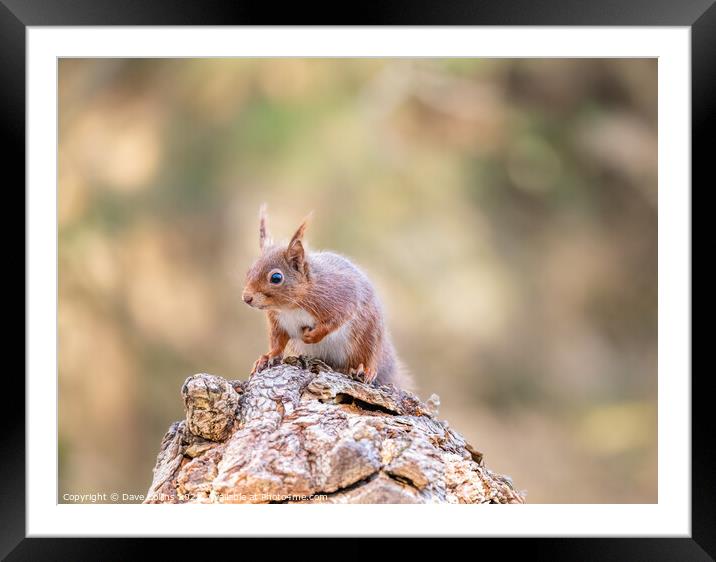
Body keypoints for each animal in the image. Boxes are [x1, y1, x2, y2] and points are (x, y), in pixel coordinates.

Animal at [241, 206, 412, 390]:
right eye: (249, 270)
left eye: (276, 278)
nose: (246, 298)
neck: (291, 307)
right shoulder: (278, 322)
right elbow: (277, 342)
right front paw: (267, 356)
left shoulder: (340, 297)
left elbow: (335, 320)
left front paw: (312, 336)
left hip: (368, 334)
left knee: (370, 354)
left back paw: (366, 369)